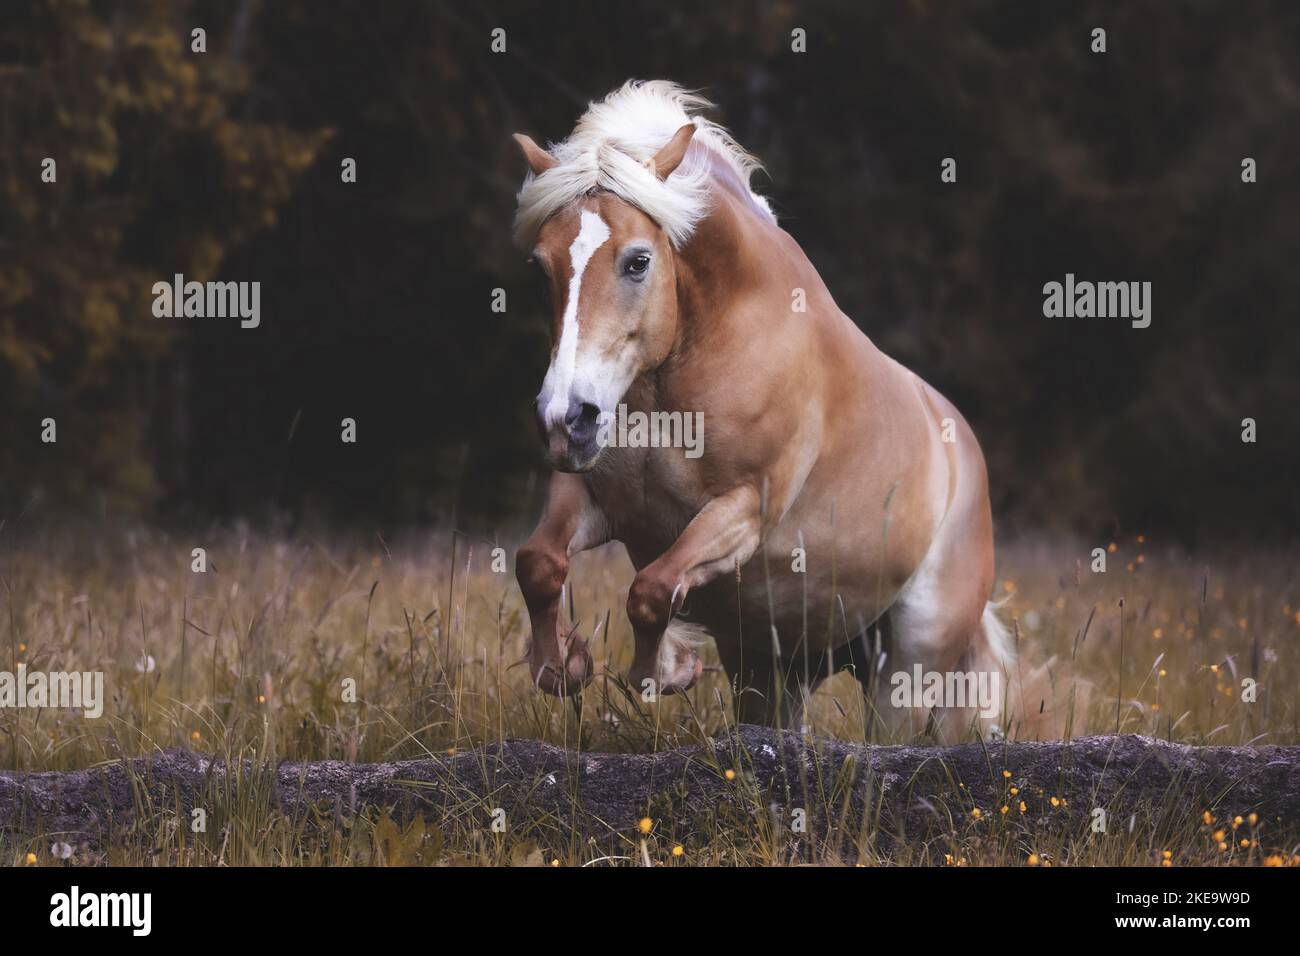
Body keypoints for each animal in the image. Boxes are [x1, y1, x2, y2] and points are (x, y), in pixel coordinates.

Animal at [512, 80, 1008, 738]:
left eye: (638, 260)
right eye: (541, 267)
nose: (566, 419)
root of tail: (967, 460)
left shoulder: (744, 511)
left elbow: (652, 590)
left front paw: (665, 671)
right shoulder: (593, 494)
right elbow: (538, 564)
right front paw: (562, 665)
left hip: (909, 666)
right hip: (779, 668)